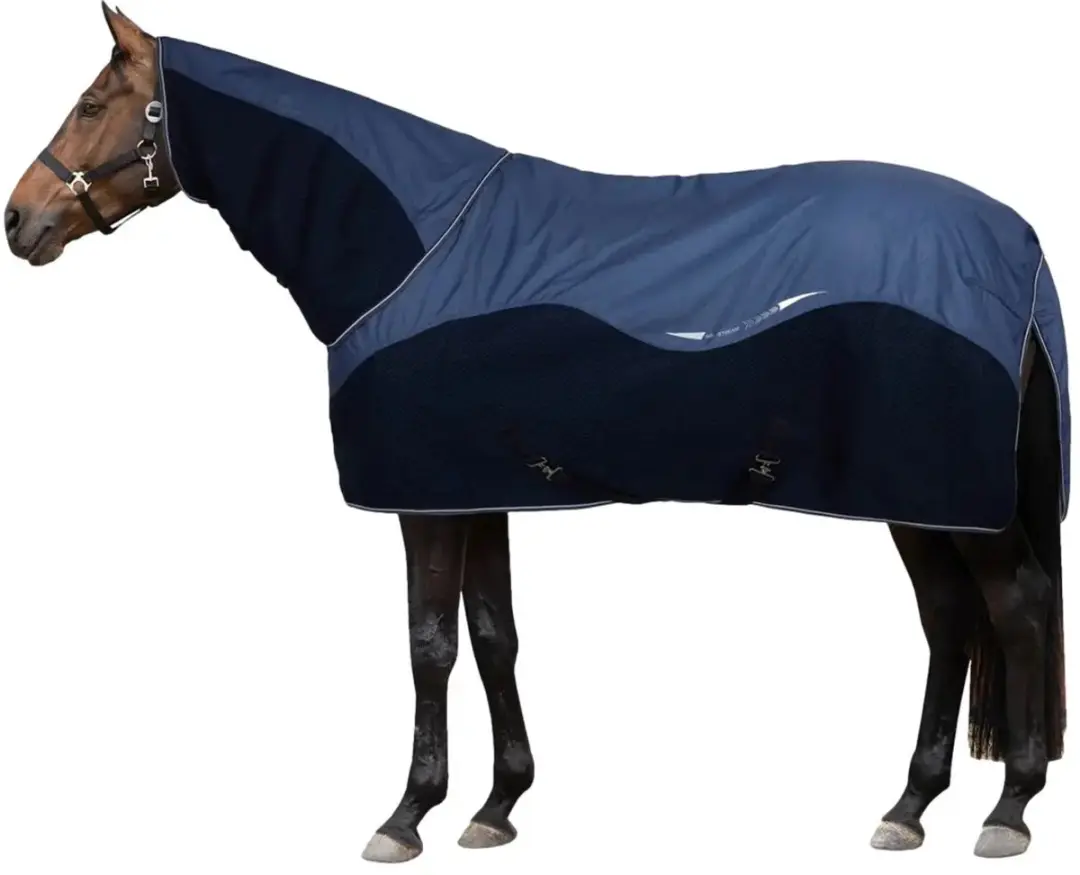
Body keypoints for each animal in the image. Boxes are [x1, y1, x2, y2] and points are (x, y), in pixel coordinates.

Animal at [4, 4, 1069, 863]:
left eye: (94, 104)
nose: (20, 221)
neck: (412, 252)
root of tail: (1015, 244)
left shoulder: (424, 500)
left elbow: (429, 643)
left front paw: (407, 815)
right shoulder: (474, 488)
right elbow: (493, 635)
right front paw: (497, 804)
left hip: (951, 501)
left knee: (1015, 611)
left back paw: (1009, 809)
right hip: (917, 499)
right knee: (951, 620)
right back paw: (910, 804)